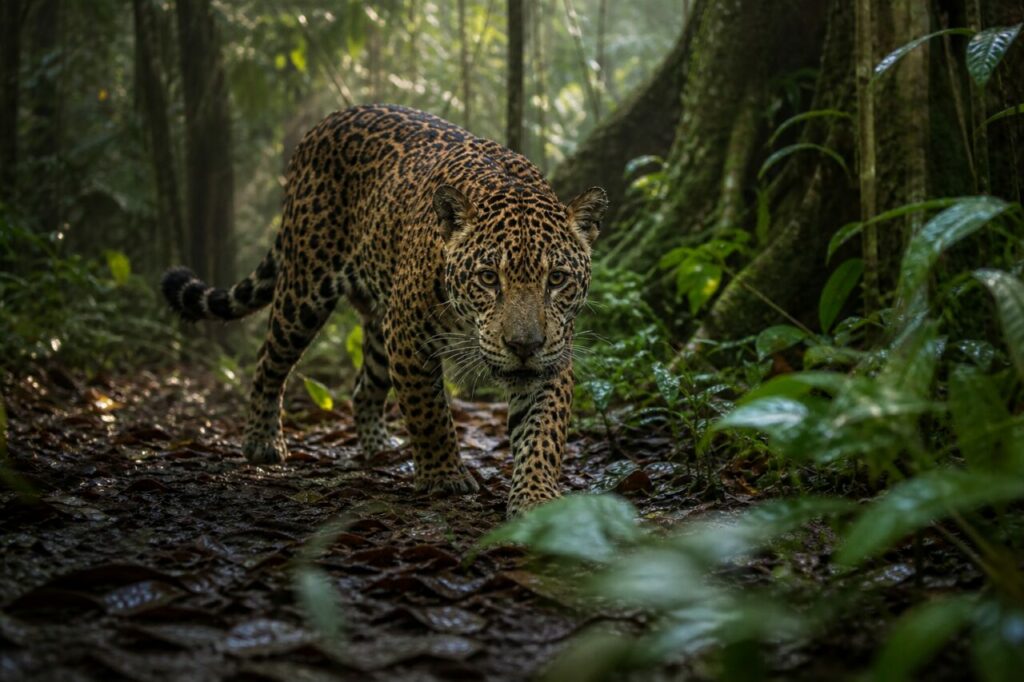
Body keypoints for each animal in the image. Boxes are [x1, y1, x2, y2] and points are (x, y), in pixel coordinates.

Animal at [161, 104, 607, 517]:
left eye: (557, 279)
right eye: (487, 278)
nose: (523, 345)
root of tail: (325, 122)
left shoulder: (552, 356)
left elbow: (543, 431)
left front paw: (536, 498)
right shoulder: (409, 337)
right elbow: (429, 412)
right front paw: (444, 477)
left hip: (378, 323)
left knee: (363, 386)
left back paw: (378, 447)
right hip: (305, 288)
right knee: (269, 359)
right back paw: (262, 441)